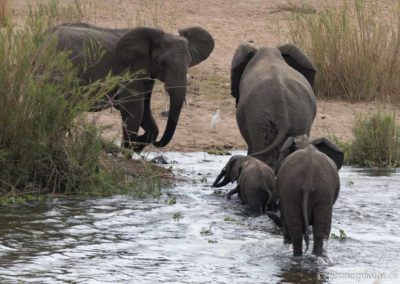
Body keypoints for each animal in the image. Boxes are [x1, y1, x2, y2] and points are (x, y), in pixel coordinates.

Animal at [50, 22, 216, 151]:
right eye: (163, 63)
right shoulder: (131, 67)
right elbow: (133, 105)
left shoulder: (147, 73)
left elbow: (145, 109)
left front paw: (139, 144)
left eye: (189, 62)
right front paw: (127, 151)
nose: (157, 143)